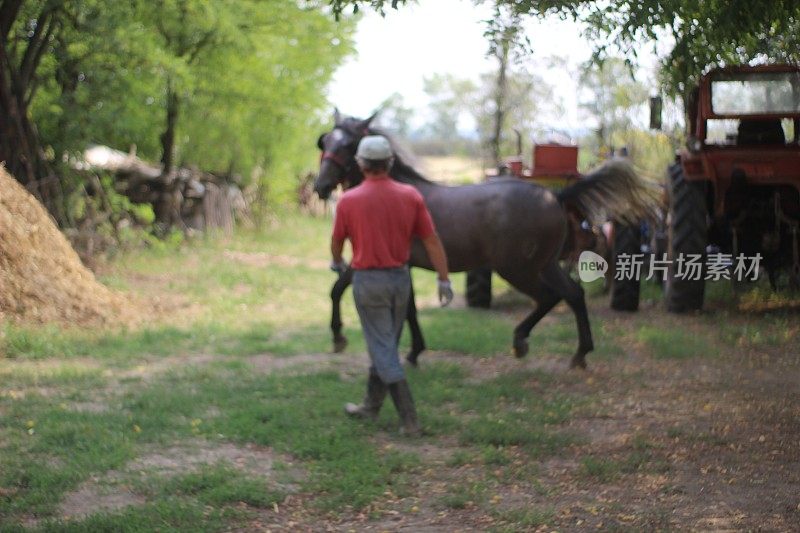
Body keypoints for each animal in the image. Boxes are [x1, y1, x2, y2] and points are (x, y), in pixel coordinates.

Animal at [316, 111, 652, 370]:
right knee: (573, 294)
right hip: (545, 264)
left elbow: (337, 289)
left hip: (516, 268)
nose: (320, 186)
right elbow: (407, 307)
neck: (389, 192)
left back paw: (521, 341)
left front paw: (338, 337)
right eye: (325, 141)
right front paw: (414, 352)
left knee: (548, 297)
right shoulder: (403, 266)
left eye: (348, 144)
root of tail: (555, 196)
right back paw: (580, 354)